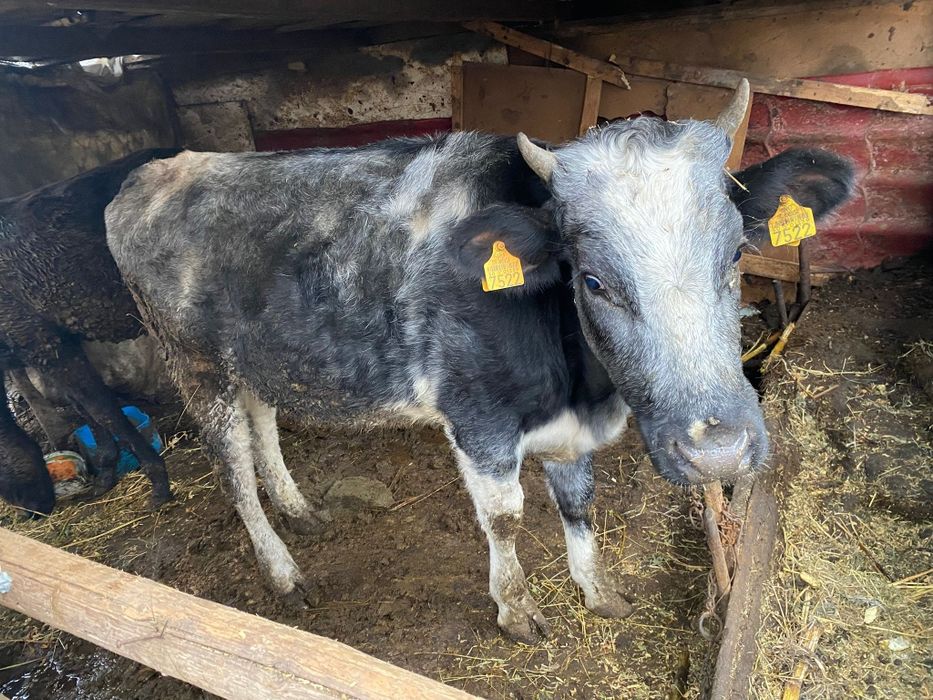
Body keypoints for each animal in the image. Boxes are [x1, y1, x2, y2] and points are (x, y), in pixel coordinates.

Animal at [0, 149, 178, 517]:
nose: (34, 510)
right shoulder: (55, 345)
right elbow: (86, 409)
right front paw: (106, 473)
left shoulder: (44, 344)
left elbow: (103, 409)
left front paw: (158, 483)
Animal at [106, 81, 855, 640]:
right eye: (592, 280)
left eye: (735, 255)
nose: (717, 453)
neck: (580, 388)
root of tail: (158, 170)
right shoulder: (477, 422)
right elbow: (506, 518)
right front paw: (517, 610)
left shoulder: (569, 433)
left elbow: (579, 506)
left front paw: (598, 590)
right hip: (194, 366)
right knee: (231, 473)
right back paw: (284, 572)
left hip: (255, 358)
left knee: (263, 422)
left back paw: (299, 508)